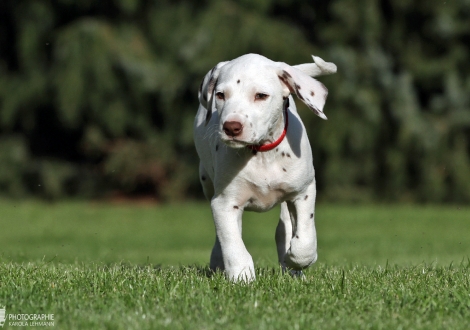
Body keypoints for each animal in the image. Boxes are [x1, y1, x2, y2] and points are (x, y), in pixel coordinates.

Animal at [193, 54, 336, 282]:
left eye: (261, 95)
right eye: (220, 95)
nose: (231, 127)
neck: (262, 153)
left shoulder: (304, 192)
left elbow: (304, 239)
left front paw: (296, 260)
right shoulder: (224, 202)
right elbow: (232, 243)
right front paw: (242, 276)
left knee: (285, 226)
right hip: (207, 182)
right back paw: (217, 262)